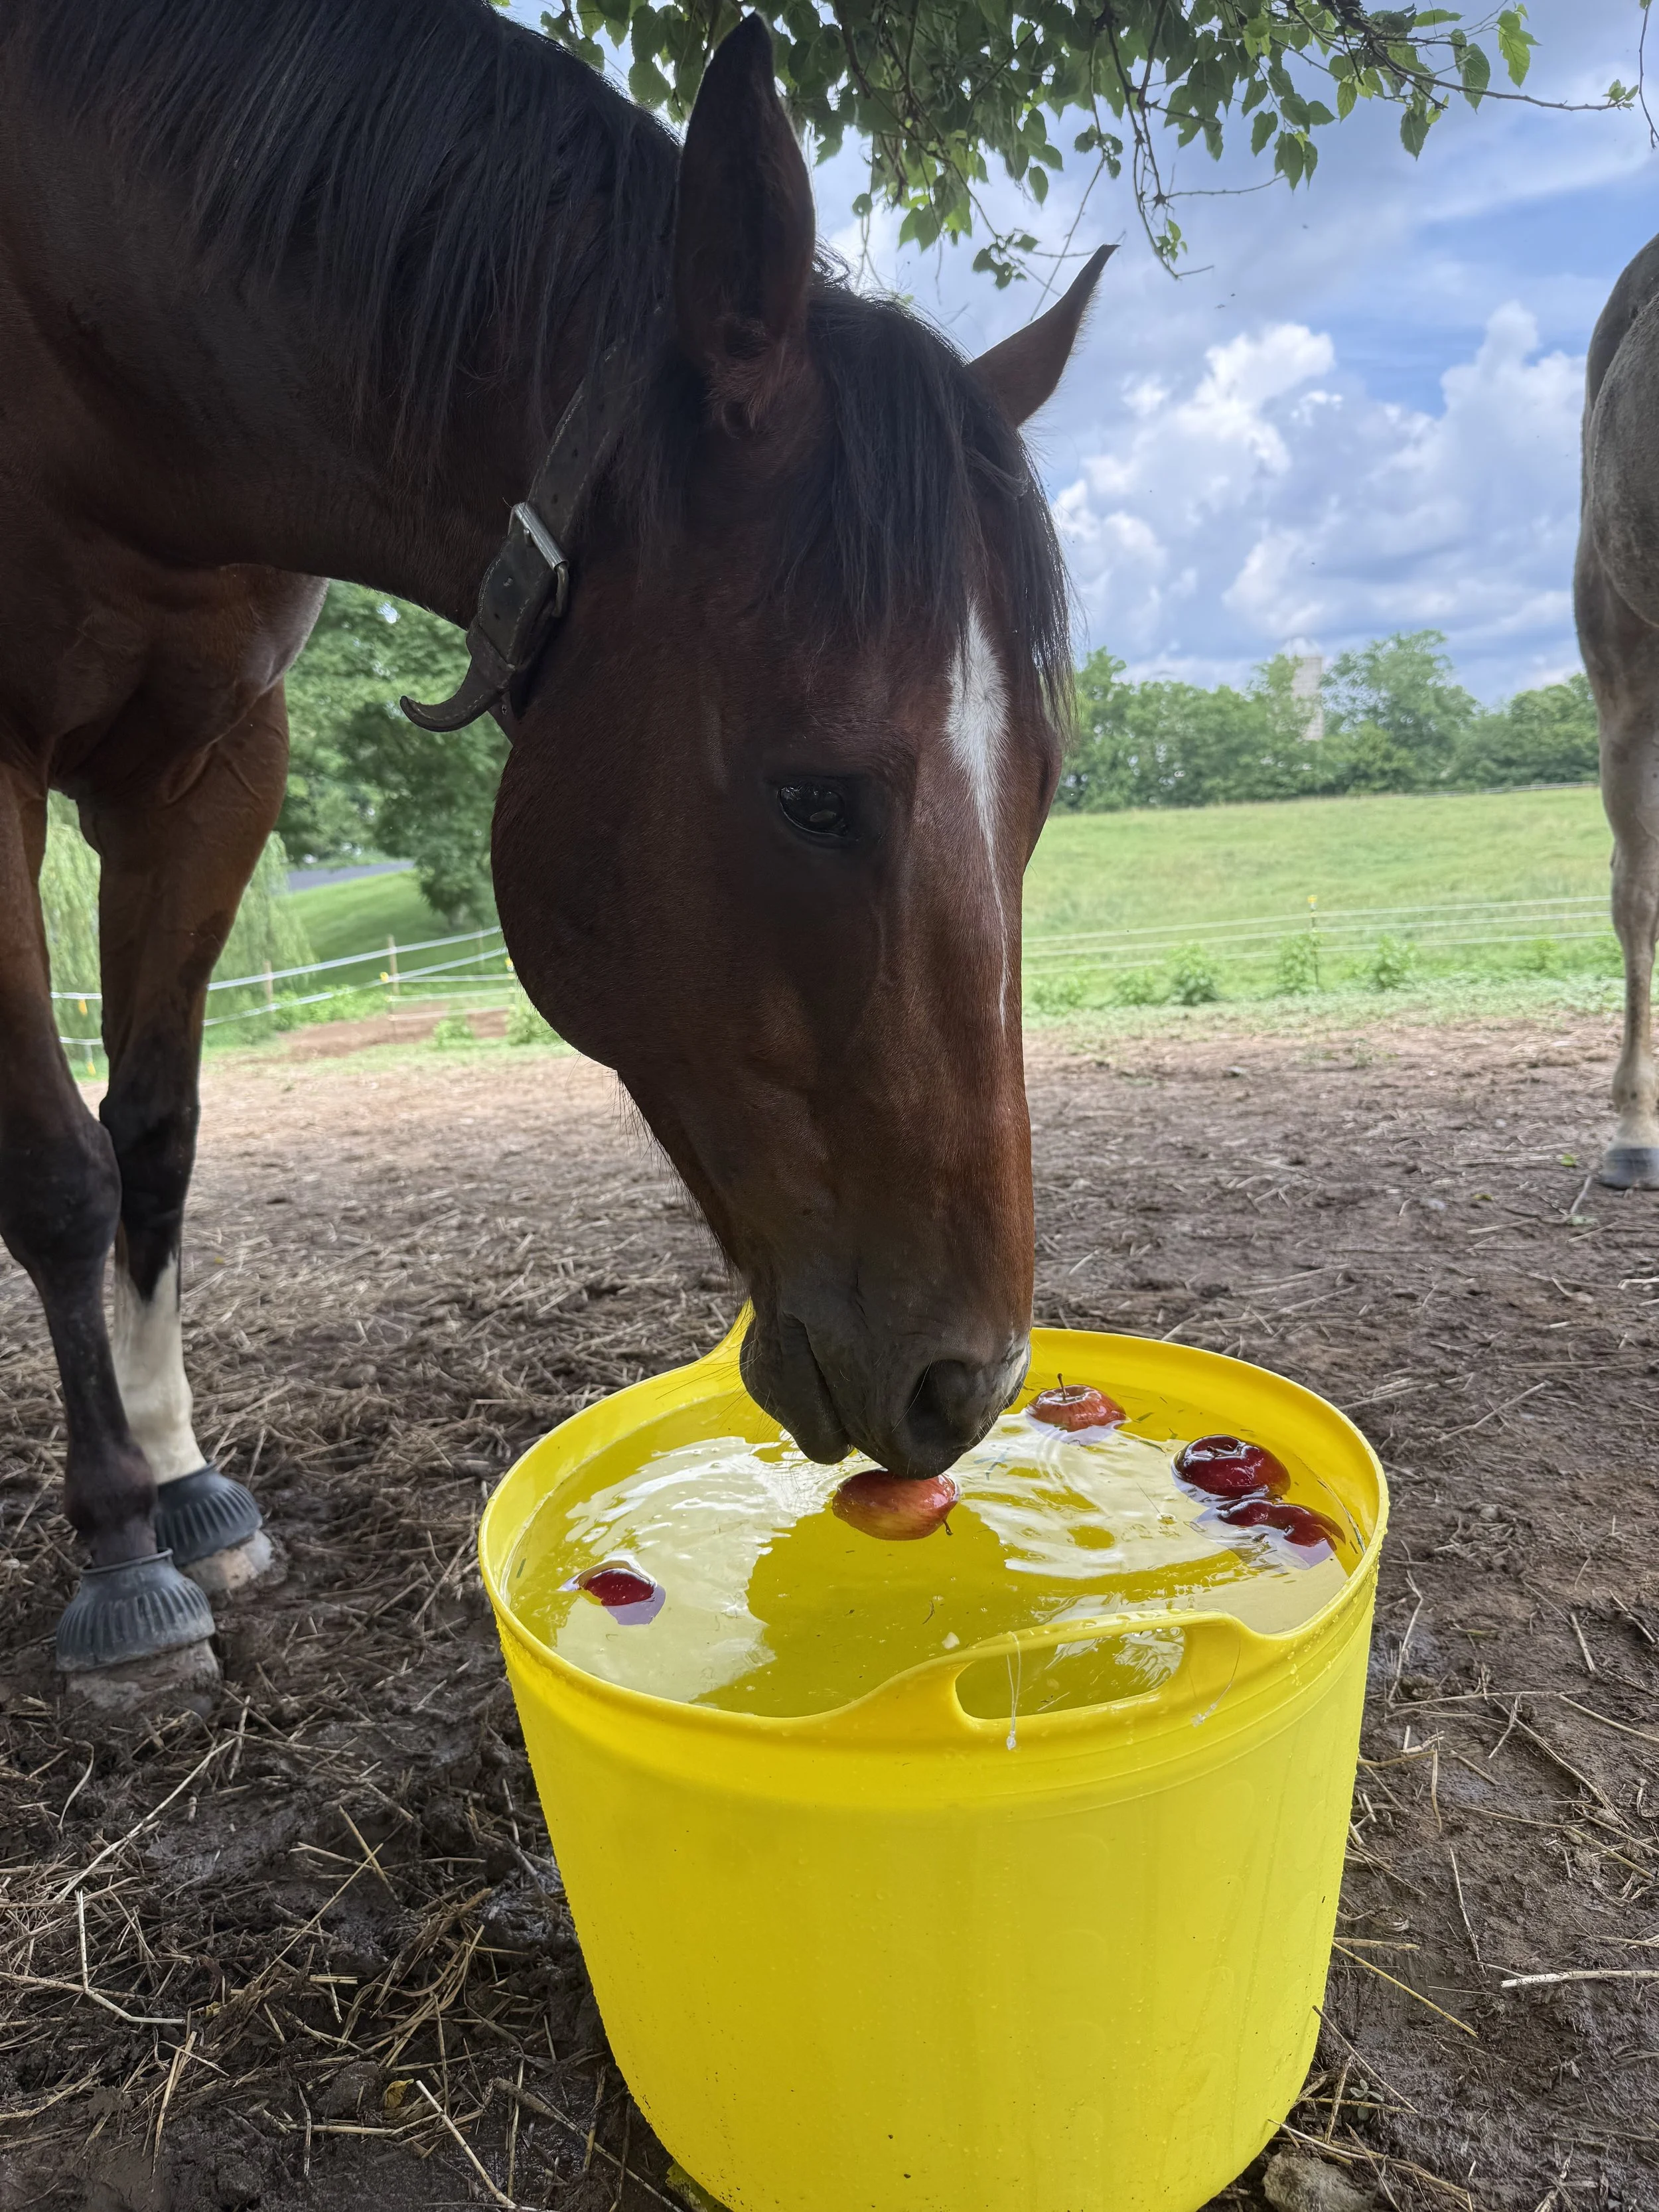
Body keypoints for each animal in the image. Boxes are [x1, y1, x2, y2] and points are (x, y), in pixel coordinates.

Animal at [0, 0, 1107, 1704]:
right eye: (814, 794)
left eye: (1044, 787)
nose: (964, 1390)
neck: (93, 343)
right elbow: (60, 1173)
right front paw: (123, 1559)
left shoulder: (209, 769)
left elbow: (156, 1139)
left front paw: (183, 1485)